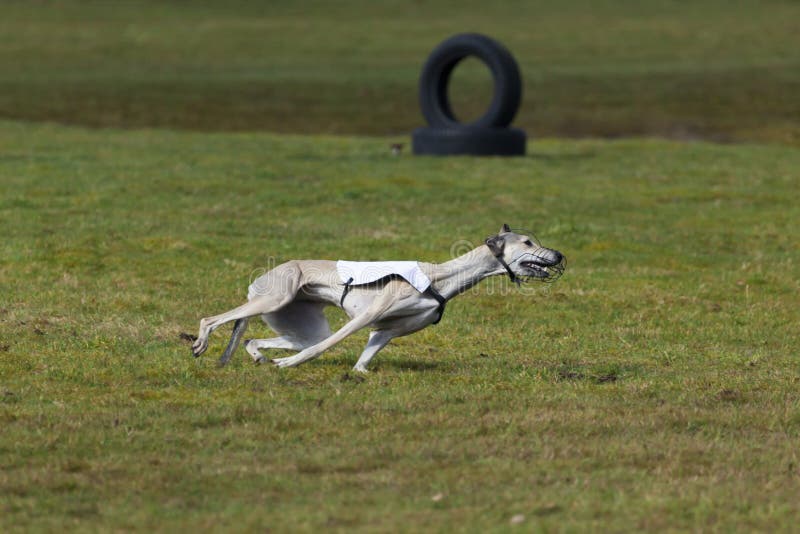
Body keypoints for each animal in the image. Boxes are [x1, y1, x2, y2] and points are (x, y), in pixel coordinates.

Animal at [192, 225, 564, 372]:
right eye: (528, 242)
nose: (559, 255)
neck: (441, 278)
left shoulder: (385, 331)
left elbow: (361, 363)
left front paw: (359, 373)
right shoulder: (366, 318)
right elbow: (323, 349)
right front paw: (289, 366)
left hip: (299, 322)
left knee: (252, 338)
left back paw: (257, 355)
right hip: (273, 299)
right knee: (212, 319)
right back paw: (201, 342)